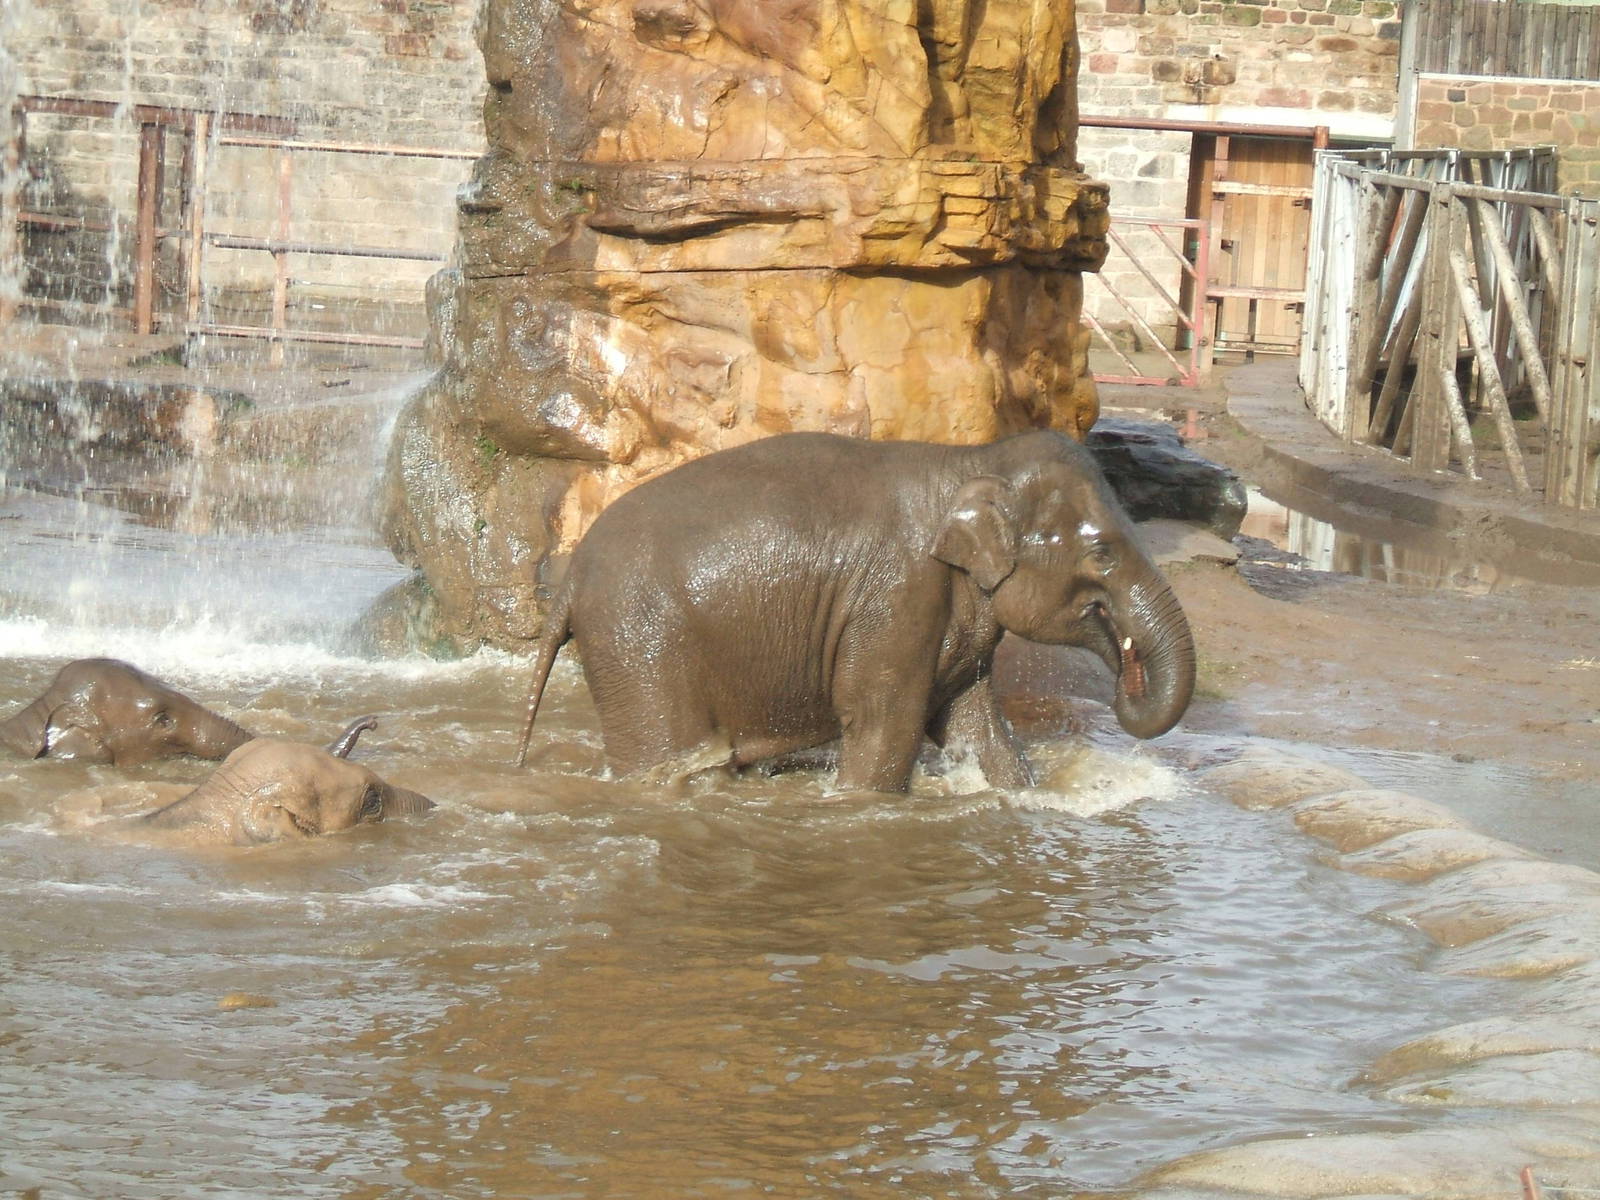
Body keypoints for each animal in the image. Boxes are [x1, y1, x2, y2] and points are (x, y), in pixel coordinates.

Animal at [515, 430, 1197, 793]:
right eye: (1103, 552)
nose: (1128, 676)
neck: (970, 461)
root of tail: (570, 582)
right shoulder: (898, 597)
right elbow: (883, 726)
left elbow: (976, 727)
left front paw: (1023, 795)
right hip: (640, 645)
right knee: (670, 757)